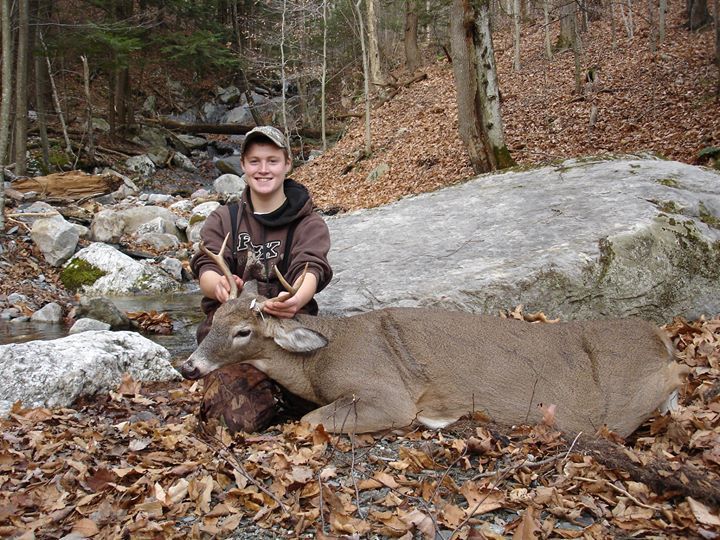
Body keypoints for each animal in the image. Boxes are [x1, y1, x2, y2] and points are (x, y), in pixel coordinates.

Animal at [180, 235, 688, 437]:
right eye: (216, 317)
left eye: (243, 331)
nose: (188, 365)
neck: (320, 360)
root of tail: (661, 340)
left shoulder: (387, 393)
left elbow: (310, 420)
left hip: (629, 399)